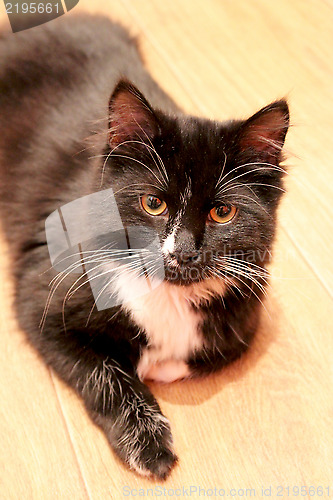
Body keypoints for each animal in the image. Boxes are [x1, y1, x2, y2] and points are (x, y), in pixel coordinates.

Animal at [0, 13, 288, 478]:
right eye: (153, 203)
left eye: (223, 212)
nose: (182, 251)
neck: (168, 295)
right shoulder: (42, 293)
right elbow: (105, 373)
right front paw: (150, 445)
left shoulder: (247, 315)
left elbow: (214, 351)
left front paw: (160, 364)